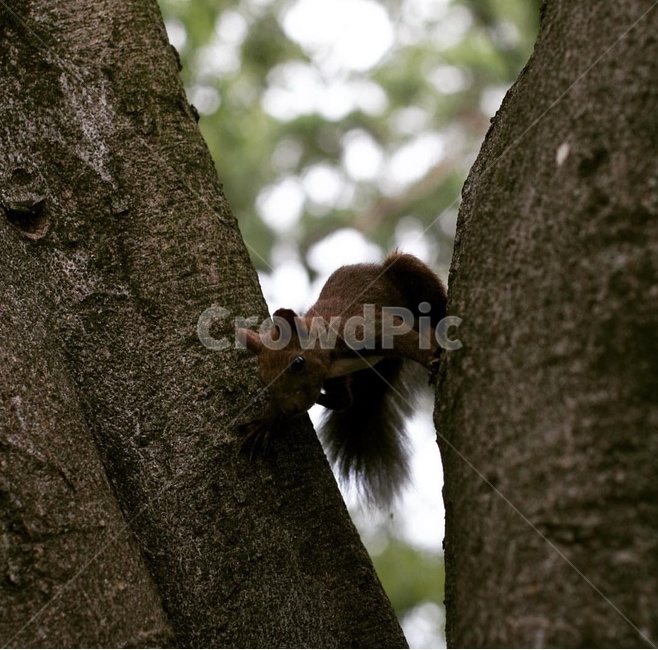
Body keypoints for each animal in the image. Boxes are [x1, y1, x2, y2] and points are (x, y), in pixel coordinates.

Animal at [237, 251, 448, 506]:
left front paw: (431, 359)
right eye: (263, 378)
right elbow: (341, 400)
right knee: (345, 400)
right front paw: (268, 419)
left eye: (298, 363)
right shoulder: (330, 376)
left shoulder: (366, 328)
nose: (290, 409)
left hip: (409, 275)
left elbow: (403, 338)